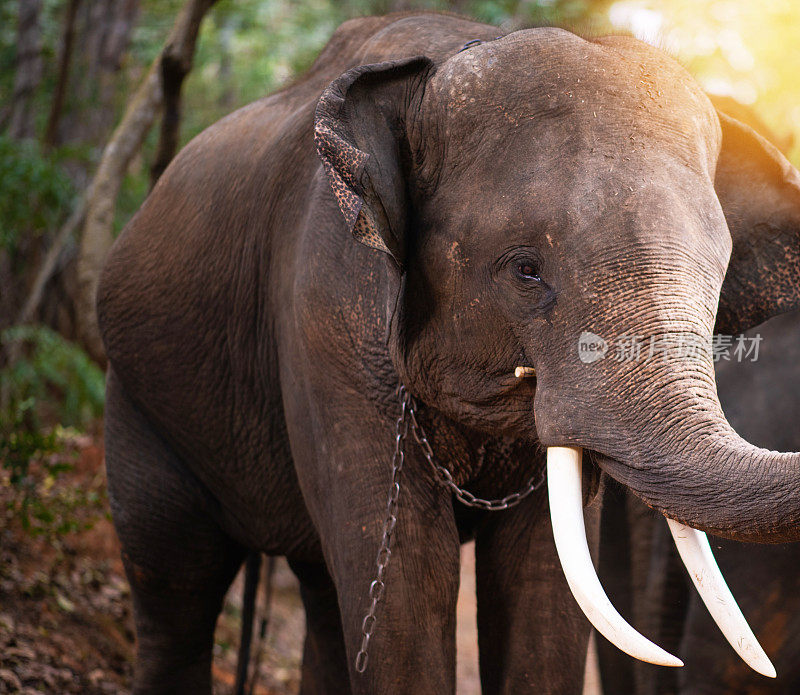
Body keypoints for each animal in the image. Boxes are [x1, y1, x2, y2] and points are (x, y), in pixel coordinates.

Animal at [97, 12, 800, 695]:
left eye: (721, 275)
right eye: (525, 270)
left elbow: (543, 592)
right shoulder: (330, 312)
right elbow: (411, 578)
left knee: (322, 596)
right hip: (137, 396)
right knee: (175, 582)